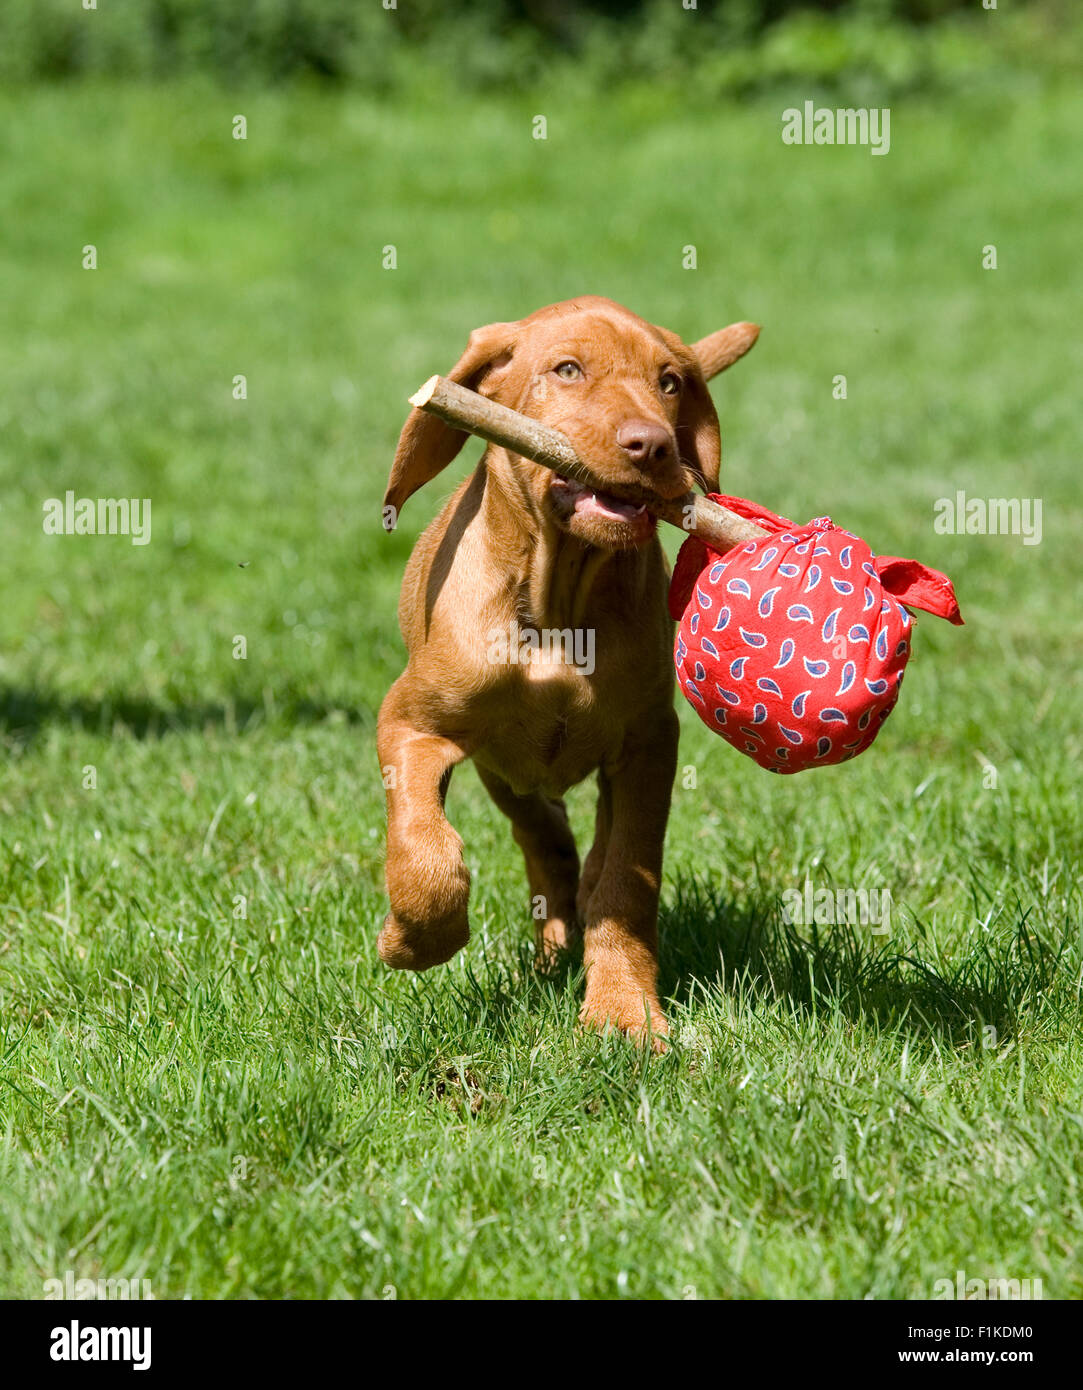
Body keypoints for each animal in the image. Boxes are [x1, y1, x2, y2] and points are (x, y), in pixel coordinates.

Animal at [378, 301, 756, 1045]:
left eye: (669, 382)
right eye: (567, 370)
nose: (653, 446)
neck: (559, 606)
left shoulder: (648, 745)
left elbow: (627, 883)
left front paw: (622, 1011)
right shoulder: (410, 725)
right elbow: (424, 851)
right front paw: (413, 941)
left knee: (582, 854)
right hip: (504, 774)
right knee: (543, 842)